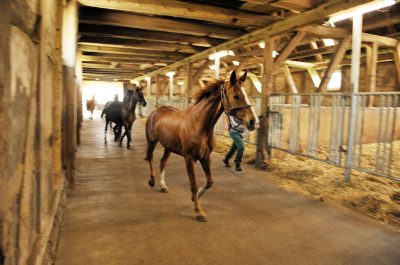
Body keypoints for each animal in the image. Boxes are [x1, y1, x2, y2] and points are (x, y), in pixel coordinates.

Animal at [145, 70, 260, 221]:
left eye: (246, 93)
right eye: (236, 95)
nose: (254, 122)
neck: (198, 125)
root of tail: (156, 111)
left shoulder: (205, 156)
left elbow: (210, 181)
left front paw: (196, 197)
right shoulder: (189, 158)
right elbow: (194, 184)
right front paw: (199, 212)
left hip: (168, 147)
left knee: (162, 162)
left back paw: (163, 186)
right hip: (152, 141)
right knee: (150, 158)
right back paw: (152, 181)